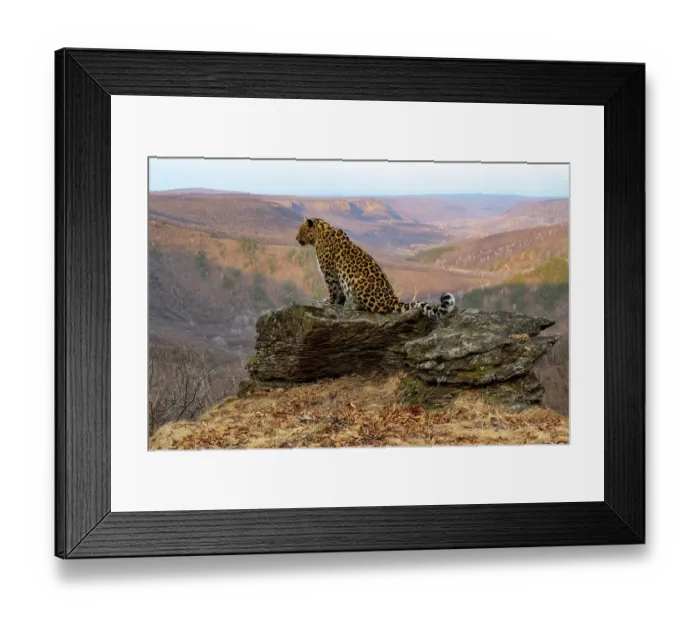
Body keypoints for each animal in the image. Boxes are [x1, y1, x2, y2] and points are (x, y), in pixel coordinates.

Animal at [295, 217, 456, 318]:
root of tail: (391, 298)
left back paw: (355, 306)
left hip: (356, 283)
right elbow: (339, 293)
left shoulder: (330, 273)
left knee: (377, 309)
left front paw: (329, 302)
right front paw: (337, 303)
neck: (320, 234)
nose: (296, 238)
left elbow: (334, 291)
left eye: (300, 230)